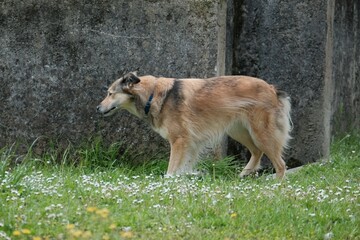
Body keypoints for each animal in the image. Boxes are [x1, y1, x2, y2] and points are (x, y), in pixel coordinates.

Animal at [97, 72, 292, 179]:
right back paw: (244, 174)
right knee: (257, 152)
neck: (152, 94)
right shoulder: (191, 143)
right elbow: (185, 165)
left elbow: (172, 168)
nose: (98, 108)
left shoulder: (179, 141)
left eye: (110, 94)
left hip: (261, 134)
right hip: (239, 130)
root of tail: (272, 89)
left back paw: (276, 185)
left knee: (281, 164)